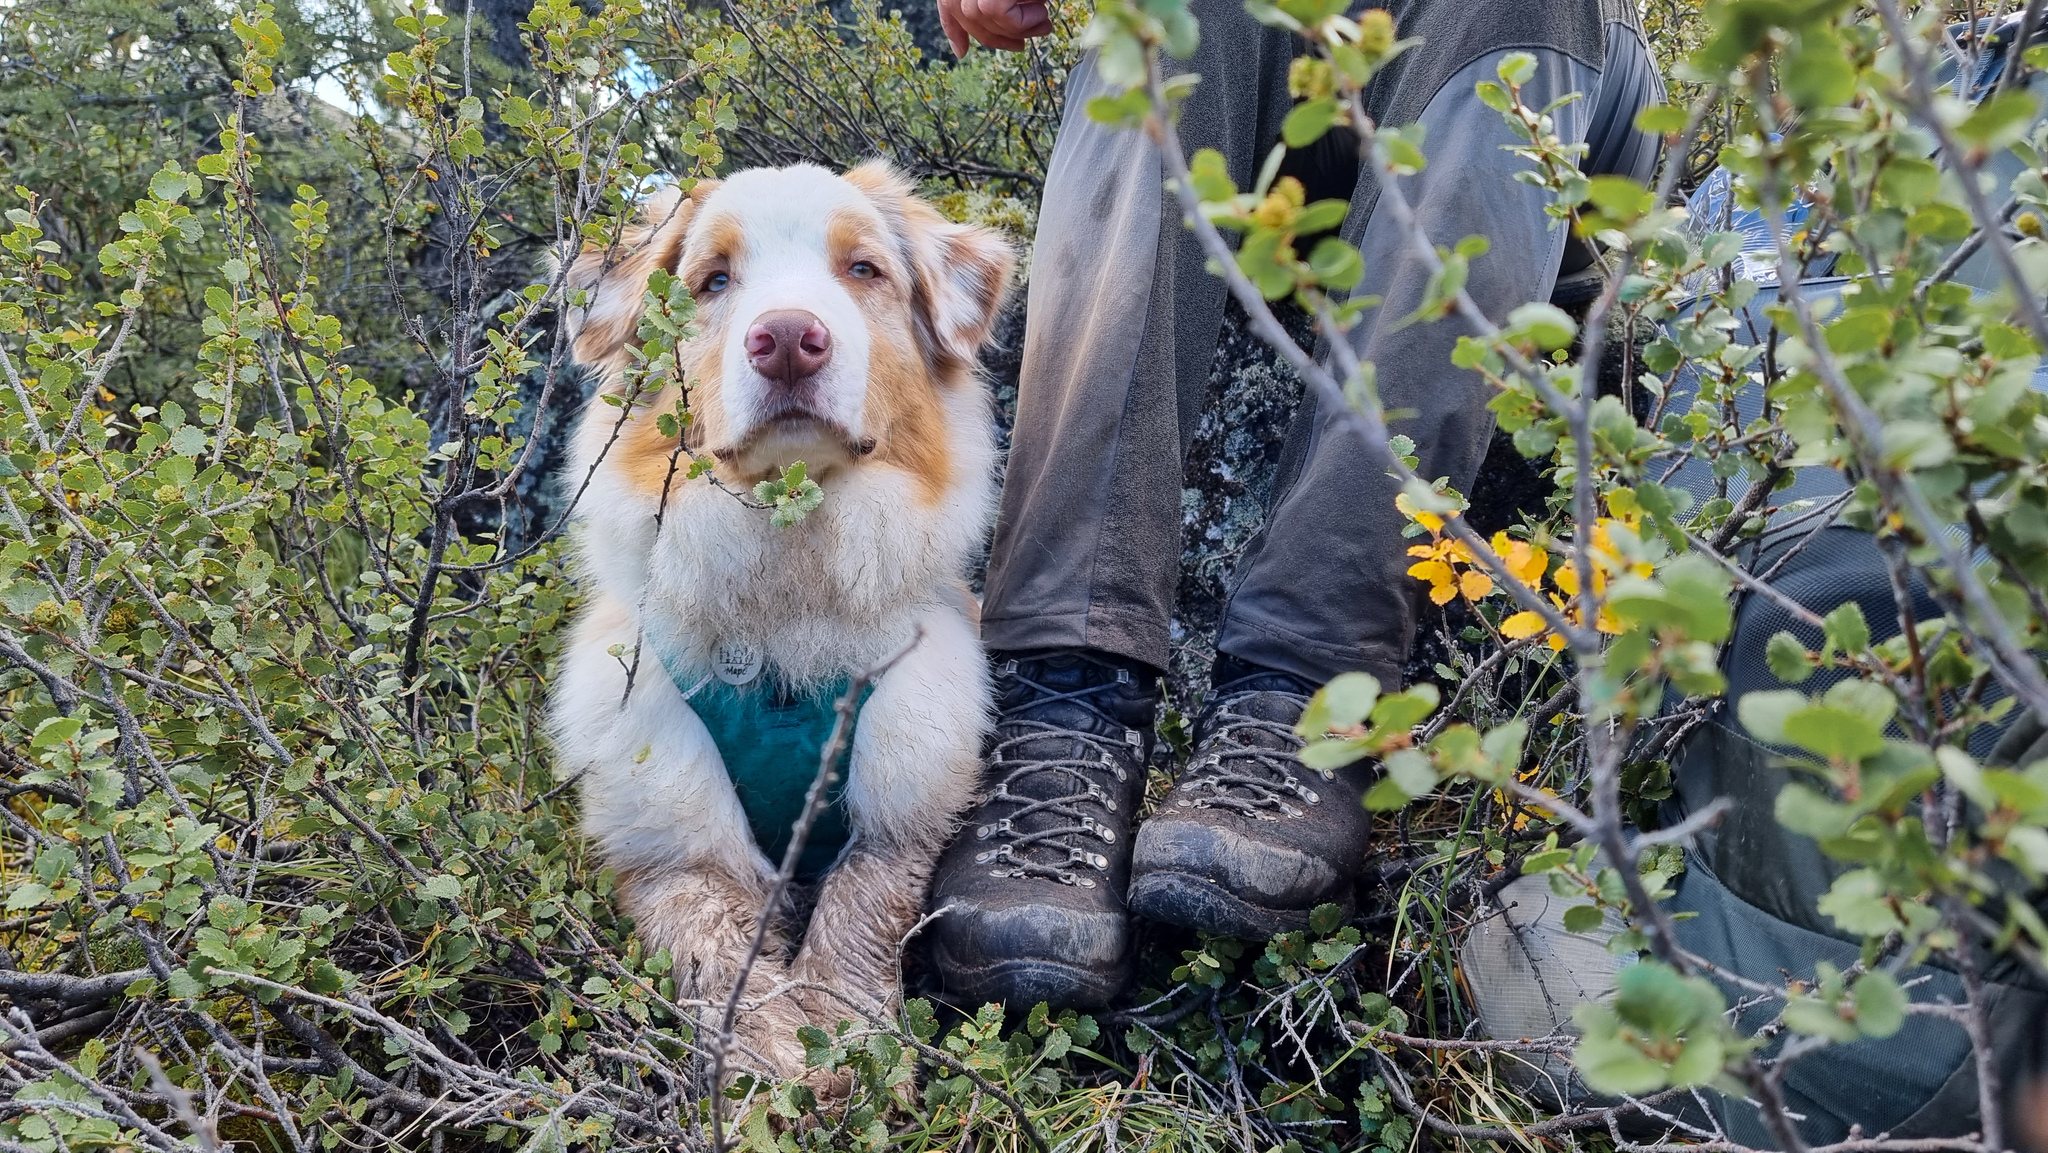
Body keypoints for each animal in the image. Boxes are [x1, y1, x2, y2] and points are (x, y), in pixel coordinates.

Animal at [552, 157, 1015, 1081]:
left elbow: (859, 906)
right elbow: (716, 945)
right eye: (712, 280)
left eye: (864, 269)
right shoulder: (669, 844)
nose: (791, 338)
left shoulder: (905, 807)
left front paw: (845, 1045)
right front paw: (776, 1065)